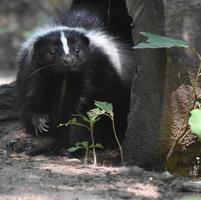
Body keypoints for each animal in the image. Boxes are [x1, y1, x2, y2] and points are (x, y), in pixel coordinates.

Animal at [16, 9, 135, 150]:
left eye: (77, 50)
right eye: (52, 52)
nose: (68, 60)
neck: (64, 76)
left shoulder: (94, 70)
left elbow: (82, 109)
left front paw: (70, 143)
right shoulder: (36, 72)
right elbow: (32, 98)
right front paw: (40, 122)